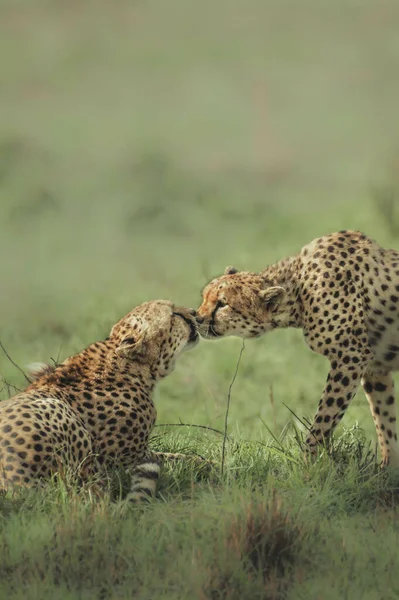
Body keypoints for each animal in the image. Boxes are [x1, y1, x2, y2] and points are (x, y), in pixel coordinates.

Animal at [0, 300, 200, 502]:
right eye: (174, 314)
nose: (194, 313)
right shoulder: (127, 459)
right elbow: (173, 459)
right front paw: (203, 463)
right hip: (56, 410)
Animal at [198, 232, 399, 466]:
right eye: (204, 296)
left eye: (223, 304)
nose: (196, 317)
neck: (299, 291)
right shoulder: (375, 367)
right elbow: (384, 418)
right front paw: (389, 467)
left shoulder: (351, 357)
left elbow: (325, 417)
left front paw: (308, 464)